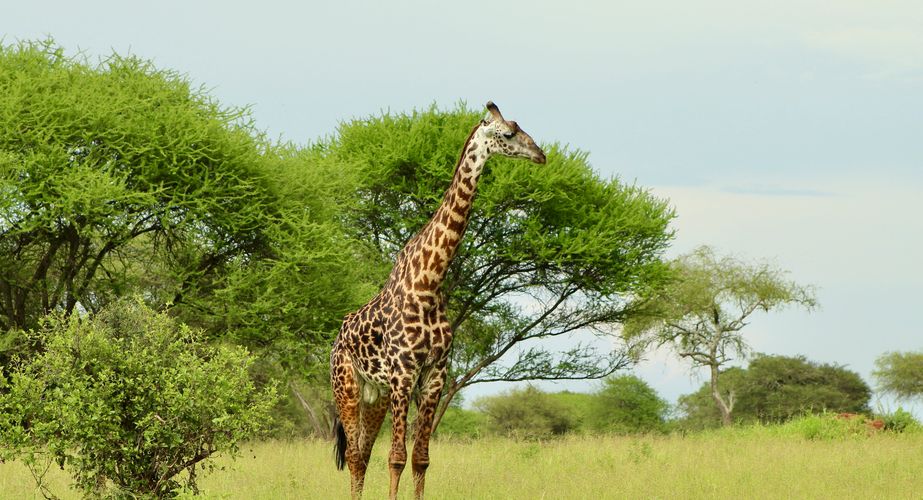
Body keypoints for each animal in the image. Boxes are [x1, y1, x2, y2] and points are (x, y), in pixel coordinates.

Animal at [330, 101, 546, 499]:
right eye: (508, 133)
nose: (541, 155)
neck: (429, 282)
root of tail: (337, 339)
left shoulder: (435, 375)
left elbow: (421, 459)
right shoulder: (403, 374)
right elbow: (396, 458)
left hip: (375, 395)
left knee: (362, 455)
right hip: (347, 387)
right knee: (353, 454)